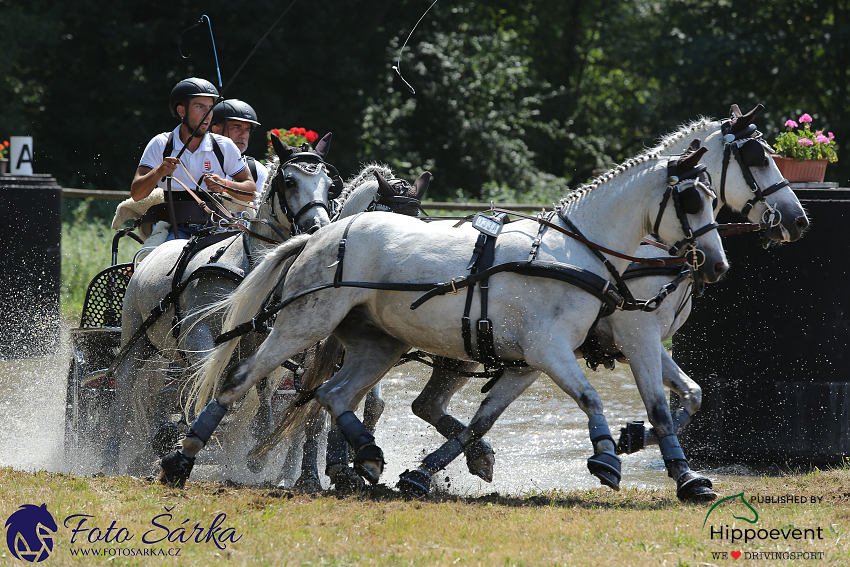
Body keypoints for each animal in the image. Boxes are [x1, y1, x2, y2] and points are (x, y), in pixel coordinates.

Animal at [162, 131, 724, 500]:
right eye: (691, 200)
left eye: (714, 196)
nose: (717, 265)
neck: (574, 252)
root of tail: (322, 234)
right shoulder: (554, 348)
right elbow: (591, 397)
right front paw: (608, 455)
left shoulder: (530, 361)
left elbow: (485, 418)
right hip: (305, 323)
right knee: (243, 380)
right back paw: (180, 458)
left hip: (378, 344)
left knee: (334, 395)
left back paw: (368, 455)